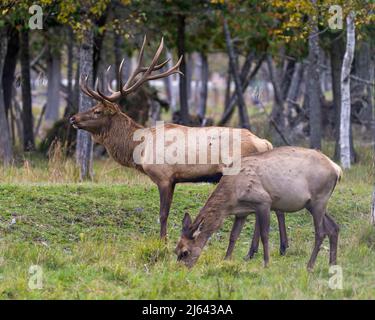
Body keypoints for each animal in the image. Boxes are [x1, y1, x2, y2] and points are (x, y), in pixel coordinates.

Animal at [69, 35, 288, 251]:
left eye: (97, 111)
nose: (73, 118)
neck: (140, 149)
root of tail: (265, 143)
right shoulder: (174, 179)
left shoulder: (164, 176)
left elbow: (162, 214)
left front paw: (162, 244)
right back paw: (277, 247)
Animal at [176, 147, 344, 270]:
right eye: (175, 250)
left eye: (185, 252)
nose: (181, 270)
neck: (231, 197)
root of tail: (337, 169)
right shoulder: (241, 212)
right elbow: (233, 235)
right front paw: (226, 259)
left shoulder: (264, 202)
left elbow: (265, 235)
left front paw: (266, 263)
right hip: (313, 204)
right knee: (334, 227)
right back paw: (332, 263)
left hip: (318, 200)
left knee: (321, 232)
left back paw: (310, 265)